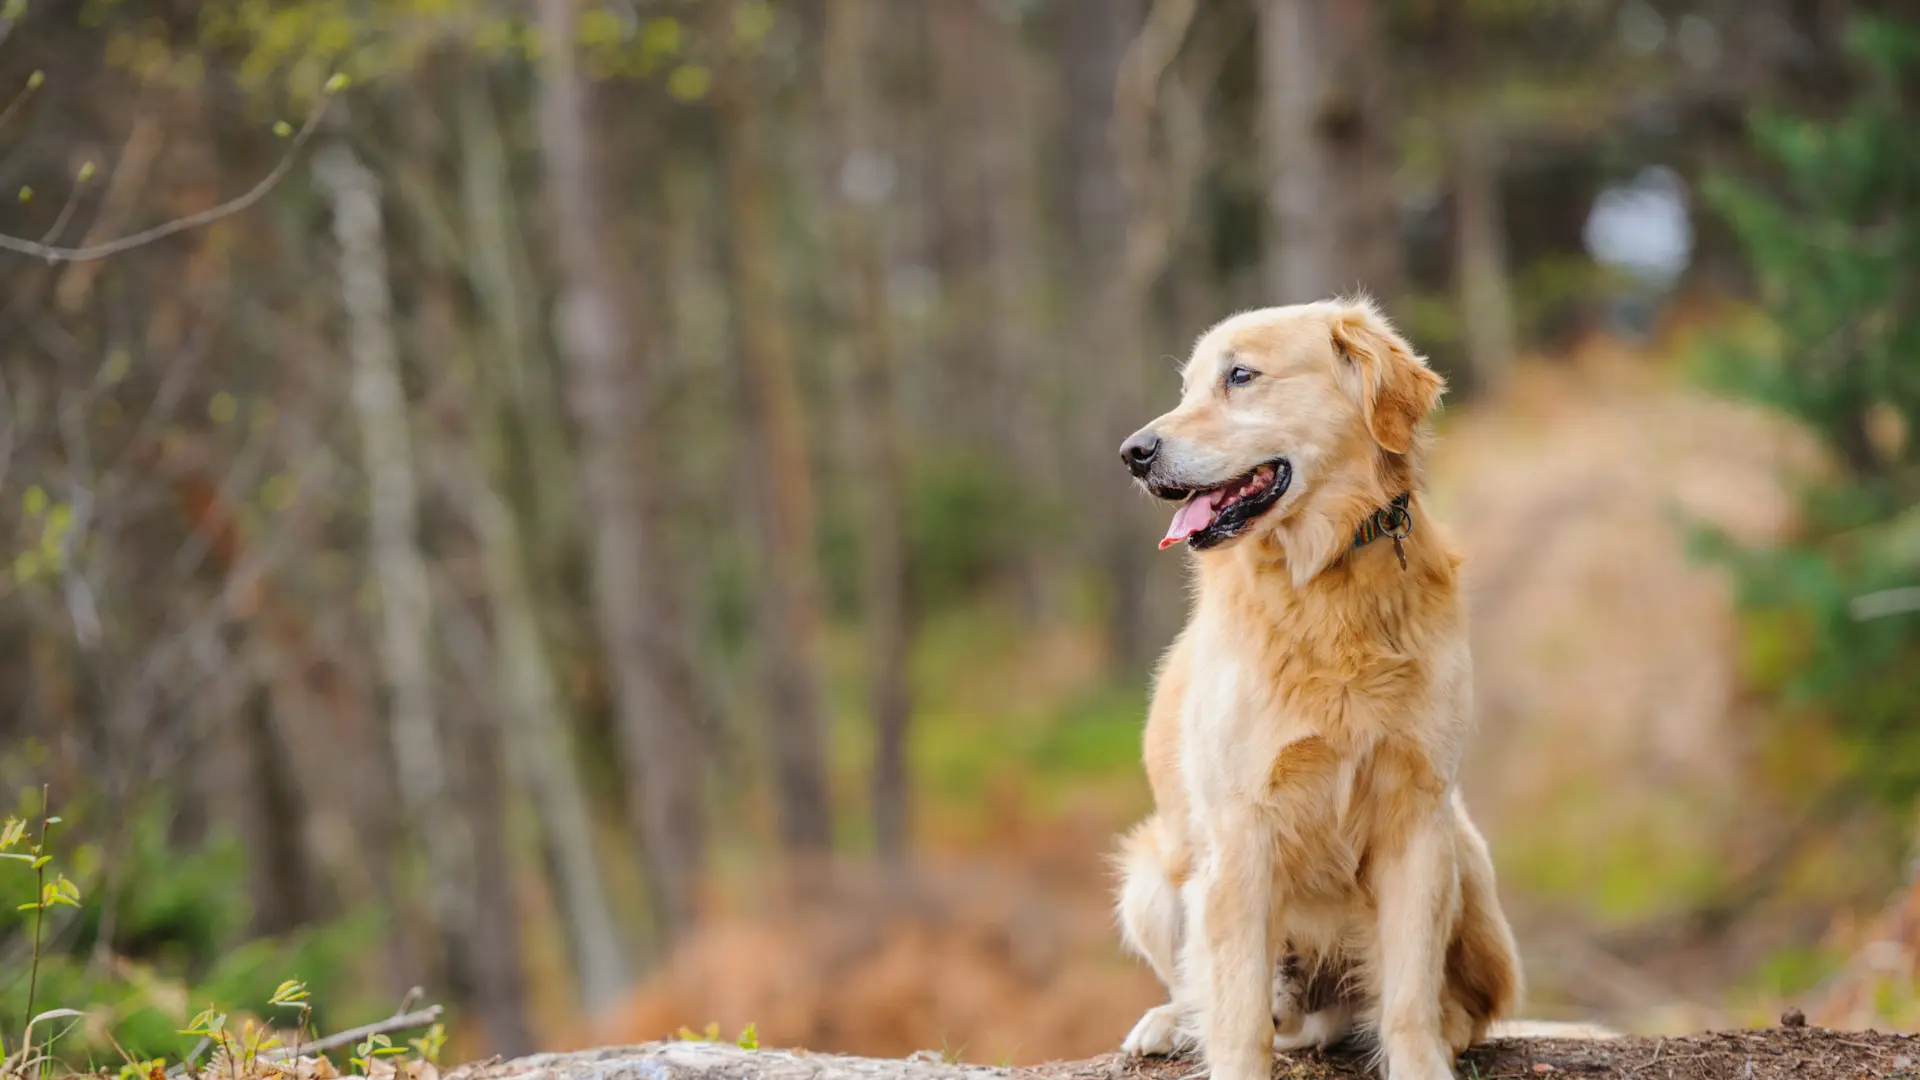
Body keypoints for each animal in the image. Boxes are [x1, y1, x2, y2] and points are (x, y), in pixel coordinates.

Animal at [1121, 294, 1520, 1076]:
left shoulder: (1417, 814)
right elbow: (1239, 1014)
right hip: (1155, 872)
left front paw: (1421, 1060)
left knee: (1452, 1007)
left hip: (1465, 853)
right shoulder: (1239, 828)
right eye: (1186, 388)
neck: (1325, 578)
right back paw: (1172, 1022)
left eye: (1240, 376)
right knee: (1223, 993)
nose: (1134, 454)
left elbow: (1409, 996)